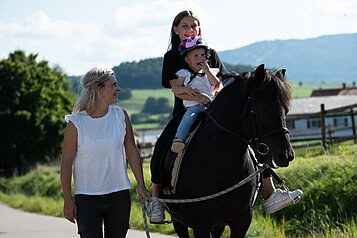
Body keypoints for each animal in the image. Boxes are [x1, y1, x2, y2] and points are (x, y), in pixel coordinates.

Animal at [161, 64, 292, 237]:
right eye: (263, 109)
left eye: (286, 110)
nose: (286, 155)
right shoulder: (200, 224)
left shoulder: (242, 220)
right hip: (179, 221)